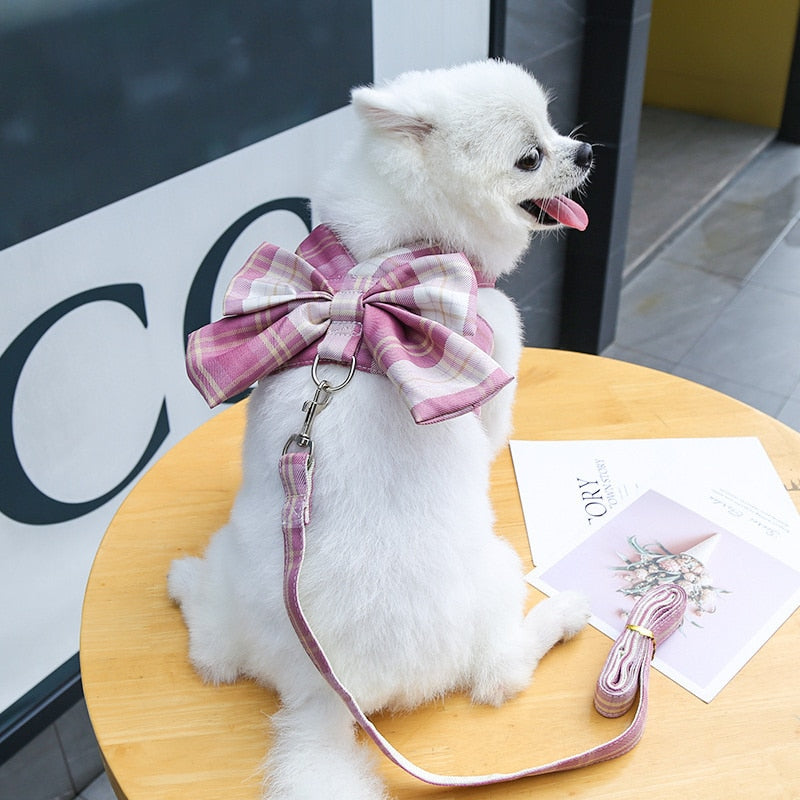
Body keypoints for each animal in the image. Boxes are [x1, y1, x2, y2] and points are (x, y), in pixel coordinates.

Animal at [169, 59, 592, 796]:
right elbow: (493, 430)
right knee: (500, 675)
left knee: (213, 655)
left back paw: (186, 585)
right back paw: (560, 617)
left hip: (234, 567)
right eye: (530, 157)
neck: (390, 256)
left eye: (554, 125)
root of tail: (327, 693)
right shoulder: (498, 342)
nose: (587, 151)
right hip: (499, 573)